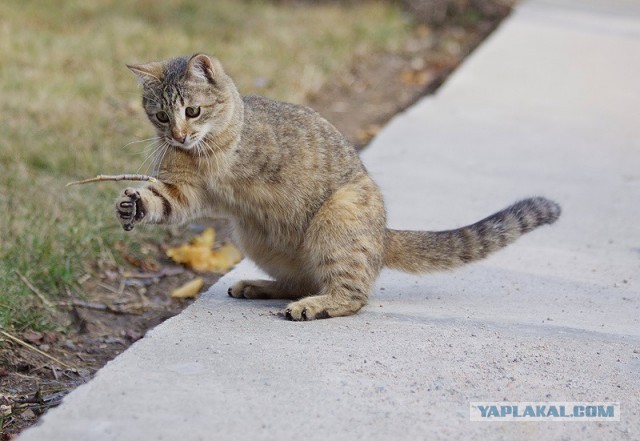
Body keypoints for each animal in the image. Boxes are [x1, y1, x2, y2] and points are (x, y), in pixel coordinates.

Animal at [117, 53, 564, 320]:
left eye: (192, 110)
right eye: (160, 115)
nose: (177, 135)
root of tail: (383, 234)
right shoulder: (184, 190)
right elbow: (163, 200)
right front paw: (133, 203)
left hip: (337, 218)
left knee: (351, 295)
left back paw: (312, 306)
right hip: (255, 236)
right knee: (302, 280)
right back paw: (261, 286)